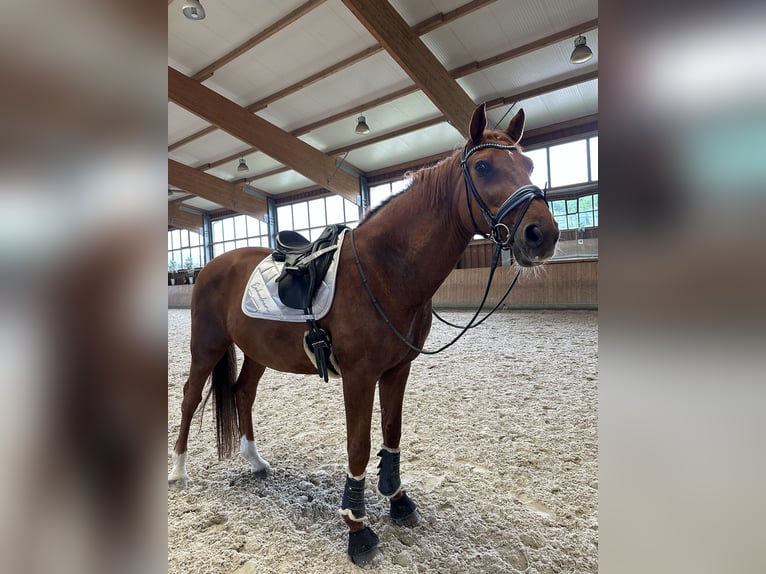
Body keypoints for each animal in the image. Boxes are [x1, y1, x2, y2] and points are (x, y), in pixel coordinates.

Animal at [171, 102, 560, 568]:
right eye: (483, 166)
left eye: (529, 164)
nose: (542, 234)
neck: (382, 269)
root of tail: (213, 265)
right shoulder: (358, 377)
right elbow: (359, 444)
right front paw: (357, 529)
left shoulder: (397, 370)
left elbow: (391, 434)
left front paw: (398, 501)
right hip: (206, 345)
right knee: (191, 396)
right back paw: (178, 472)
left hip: (257, 352)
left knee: (243, 393)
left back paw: (255, 461)